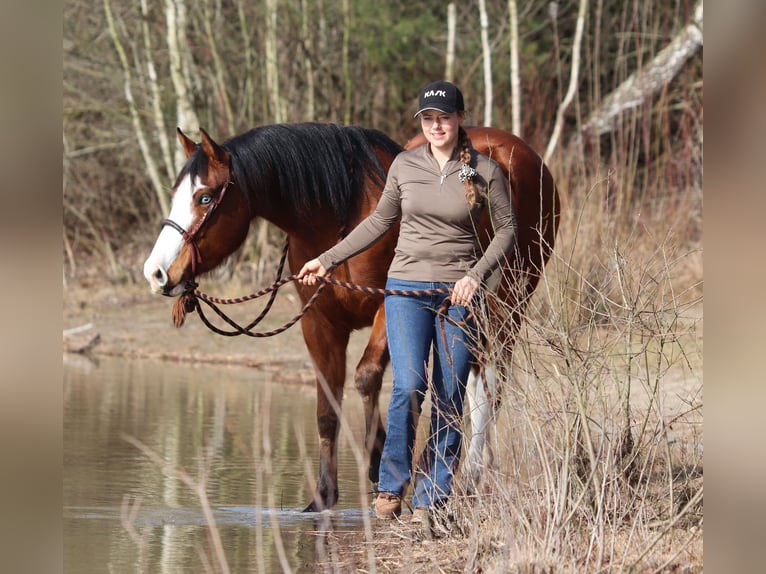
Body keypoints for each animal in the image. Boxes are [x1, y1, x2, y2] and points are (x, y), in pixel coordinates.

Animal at [142, 122, 559, 511]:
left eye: (204, 197)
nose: (156, 273)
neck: (339, 217)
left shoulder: (390, 307)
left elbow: (367, 377)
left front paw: (378, 462)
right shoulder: (318, 323)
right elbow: (328, 406)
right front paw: (324, 495)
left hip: (507, 308)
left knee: (489, 386)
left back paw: (471, 476)